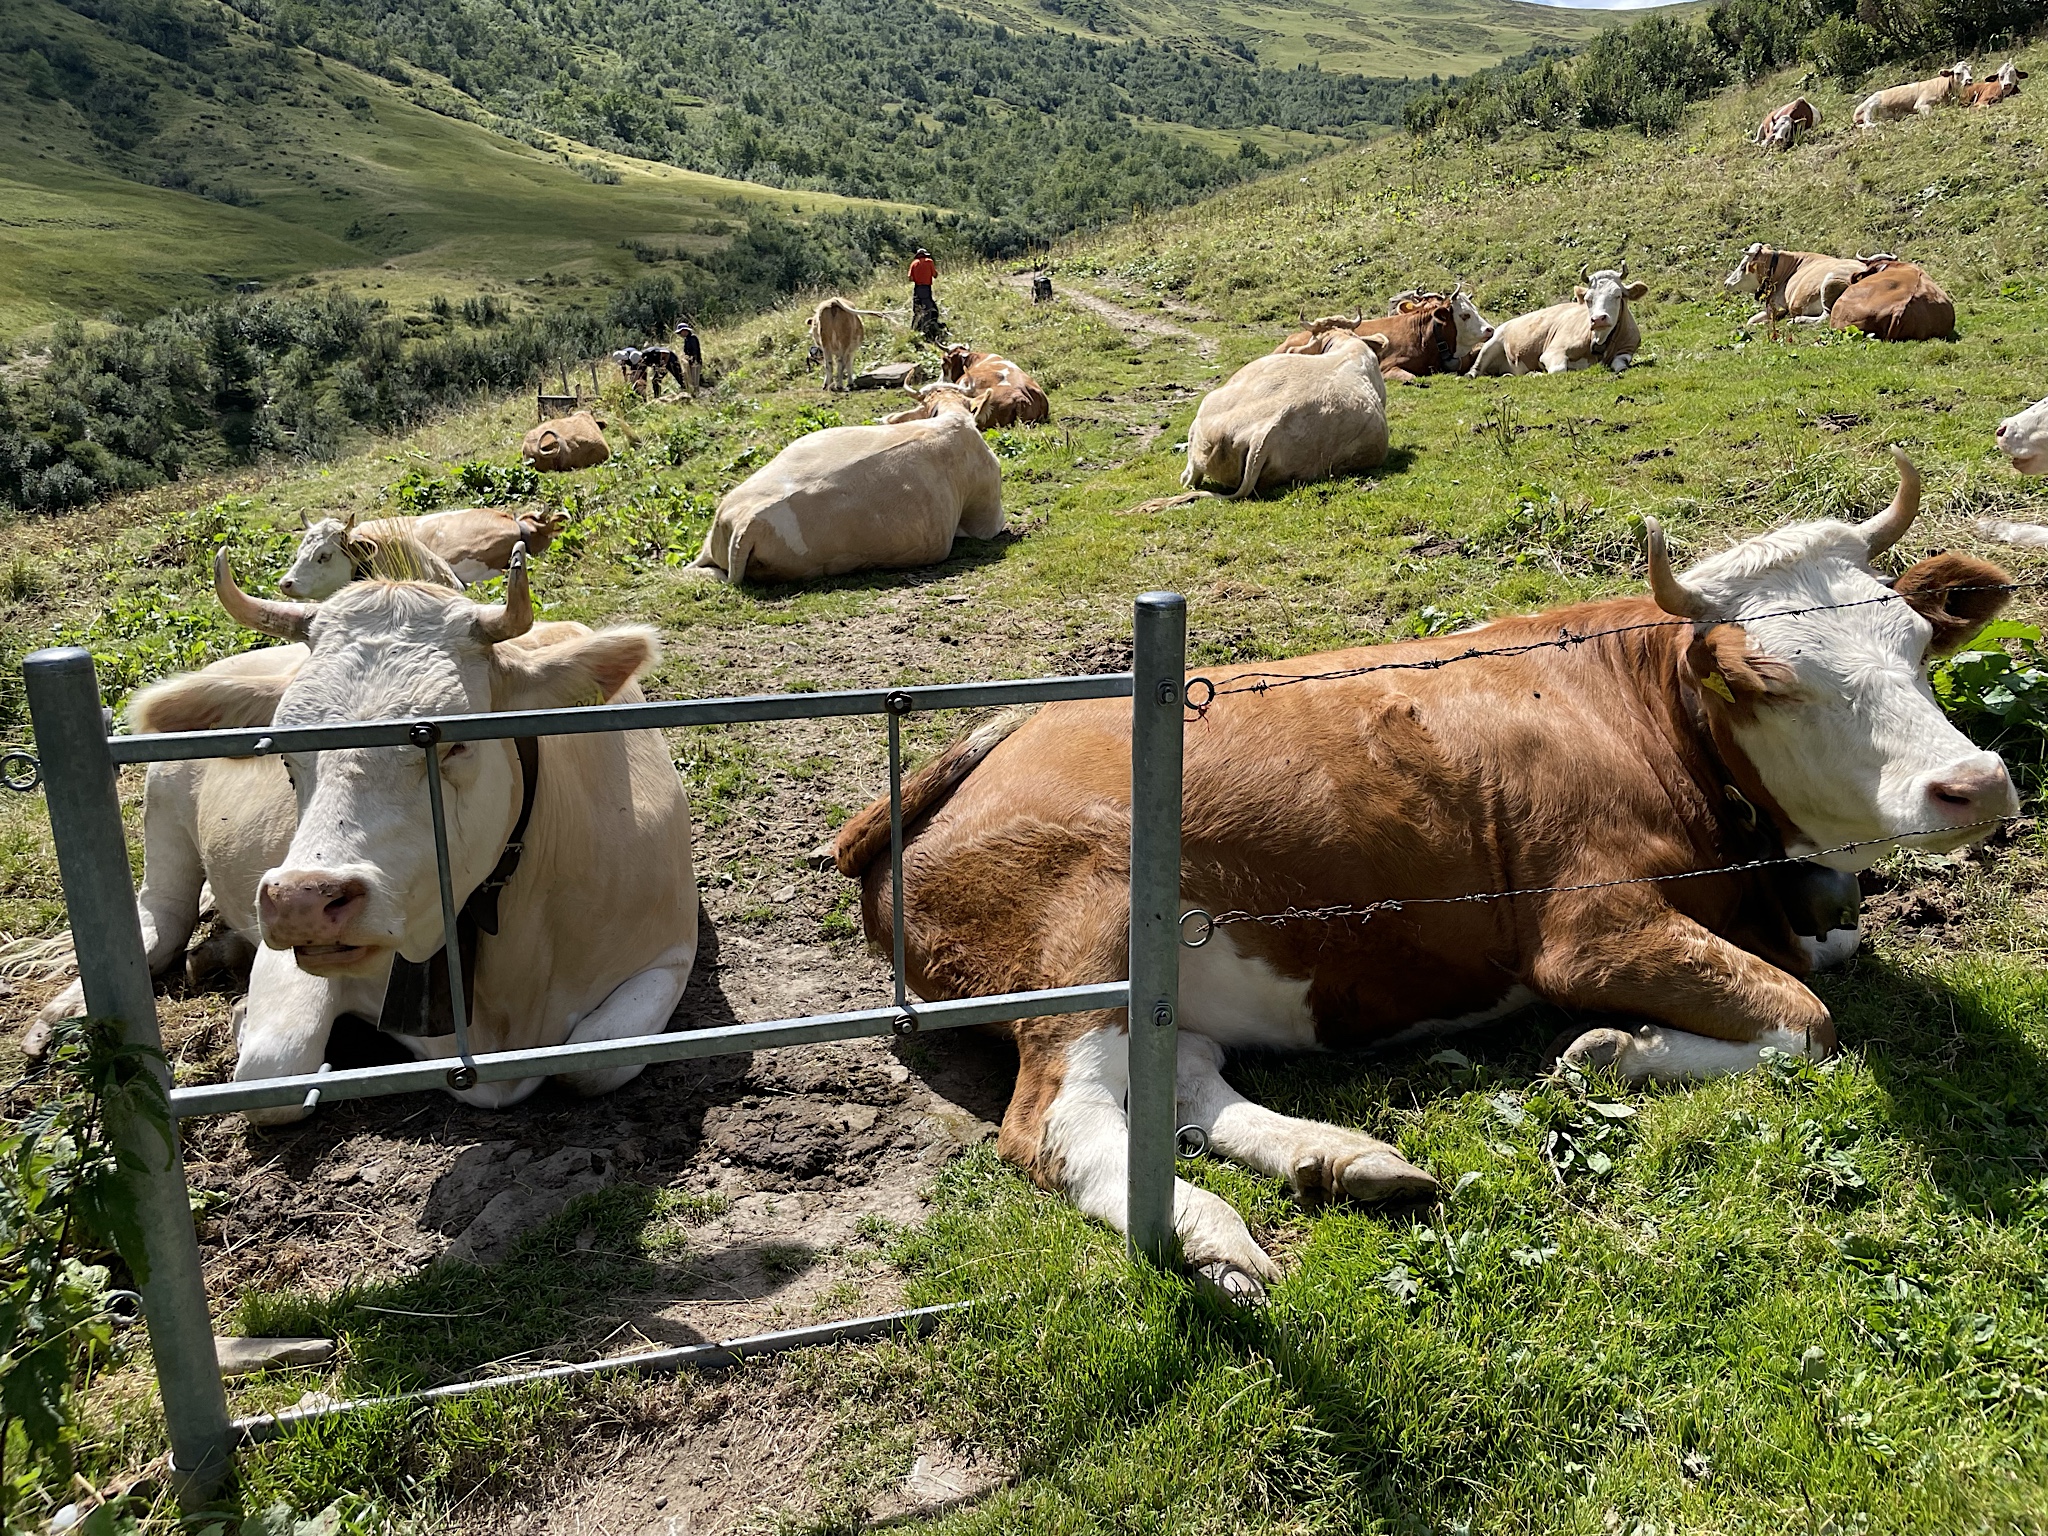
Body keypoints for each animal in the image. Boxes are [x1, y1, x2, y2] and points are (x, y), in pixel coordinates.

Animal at [828, 450, 2015, 1298]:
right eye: (1770, 681)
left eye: (1917, 644)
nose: (1978, 783)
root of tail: (995, 732)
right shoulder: (1590, 932)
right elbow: (1806, 1022)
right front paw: (1611, 1050)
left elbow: (1832, 948)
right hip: (1080, 933)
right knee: (1056, 1120)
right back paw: (1208, 1235)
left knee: (1186, 1076)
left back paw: (1340, 1159)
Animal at [1466, 265, 1646, 376]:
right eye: (1588, 299)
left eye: (1617, 295)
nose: (1598, 319)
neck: (1599, 340)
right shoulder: (1553, 352)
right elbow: (1558, 370)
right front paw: (1535, 374)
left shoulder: (1627, 349)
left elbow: (1620, 366)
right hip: (1492, 342)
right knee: (1476, 368)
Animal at [1722, 244, 1864, 326]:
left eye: (1743, 266)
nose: (1726, 283)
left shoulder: (1778, 306)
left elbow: (1750, 321)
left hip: (1828, 284)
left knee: (1826, 317)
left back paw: (1798, 320)